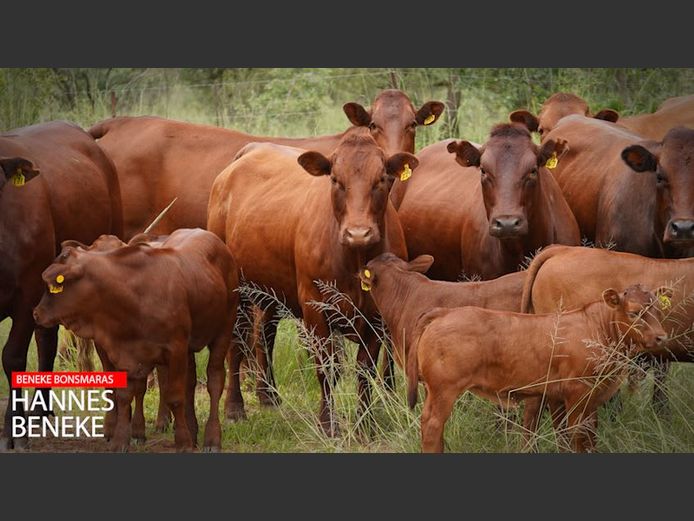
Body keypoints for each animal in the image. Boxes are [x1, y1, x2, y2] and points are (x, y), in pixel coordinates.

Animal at [32, 228, 239, 450]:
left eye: (53, 286)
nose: (36, 313)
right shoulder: (125, 351)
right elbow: (124, 395)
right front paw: (121, 439)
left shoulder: (175, 349)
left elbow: (175, 397)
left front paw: (183, 442)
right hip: (188, 348)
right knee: (189, 382)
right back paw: (192, 430)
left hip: (224, 330)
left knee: (215, 380)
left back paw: (212, 437)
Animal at [207, 128, 414, 432]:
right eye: (336, 180)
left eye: (381, 179)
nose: (358, 233)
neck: (355, 259)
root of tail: (250, 150)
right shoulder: (314, 306)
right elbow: (328, 367)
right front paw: (328, 423)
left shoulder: (377, 316)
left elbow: (365, 370)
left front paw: (365, 424)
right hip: (239, 289)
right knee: (238, 341)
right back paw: (235, 407)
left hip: (271, 291)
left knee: (264, 334)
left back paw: (268, 395)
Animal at [400, 284, 672, 450]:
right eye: (635, 312)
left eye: (659, 310)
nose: (661, 337)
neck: (596, 328)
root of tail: (444, 312)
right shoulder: (577, 392)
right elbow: (578, 435)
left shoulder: (576, 397)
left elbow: (582, 435)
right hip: (444, 389)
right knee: (432, 425)